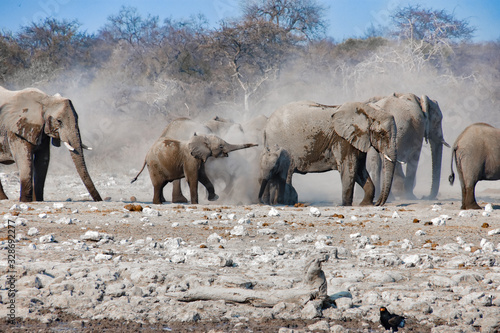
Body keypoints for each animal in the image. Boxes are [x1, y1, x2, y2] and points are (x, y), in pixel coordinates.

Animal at [264, 100, 396, 206]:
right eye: (382, 134)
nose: (378, 203)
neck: (366, 110)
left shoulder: (356, 139)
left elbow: (360, 169)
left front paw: (364, 205)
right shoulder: (342, 139)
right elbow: (349, 169)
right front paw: (346, 206)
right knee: (287, 173)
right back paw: (283, 203)